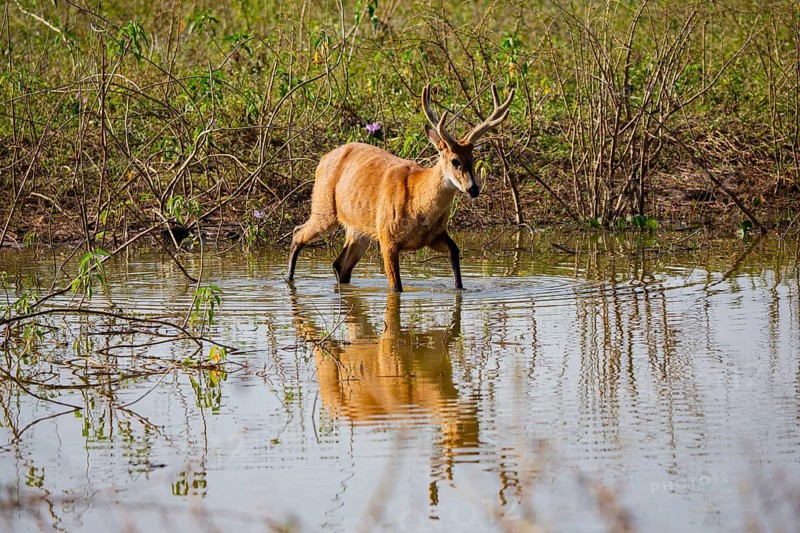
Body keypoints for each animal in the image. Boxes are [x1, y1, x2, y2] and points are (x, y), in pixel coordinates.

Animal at [286, 83, 515, 292]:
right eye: (455, 161)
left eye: (473, 158)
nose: (473, 189)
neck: (418, 204)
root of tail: (323, 159)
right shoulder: (387, 237)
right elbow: (397, 287)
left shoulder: (435, 235)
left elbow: (455, 252)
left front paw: (460, 288)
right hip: (324, 208)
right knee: (298, 232)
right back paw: (288, 279)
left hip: (358, 229)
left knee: (340, 266)